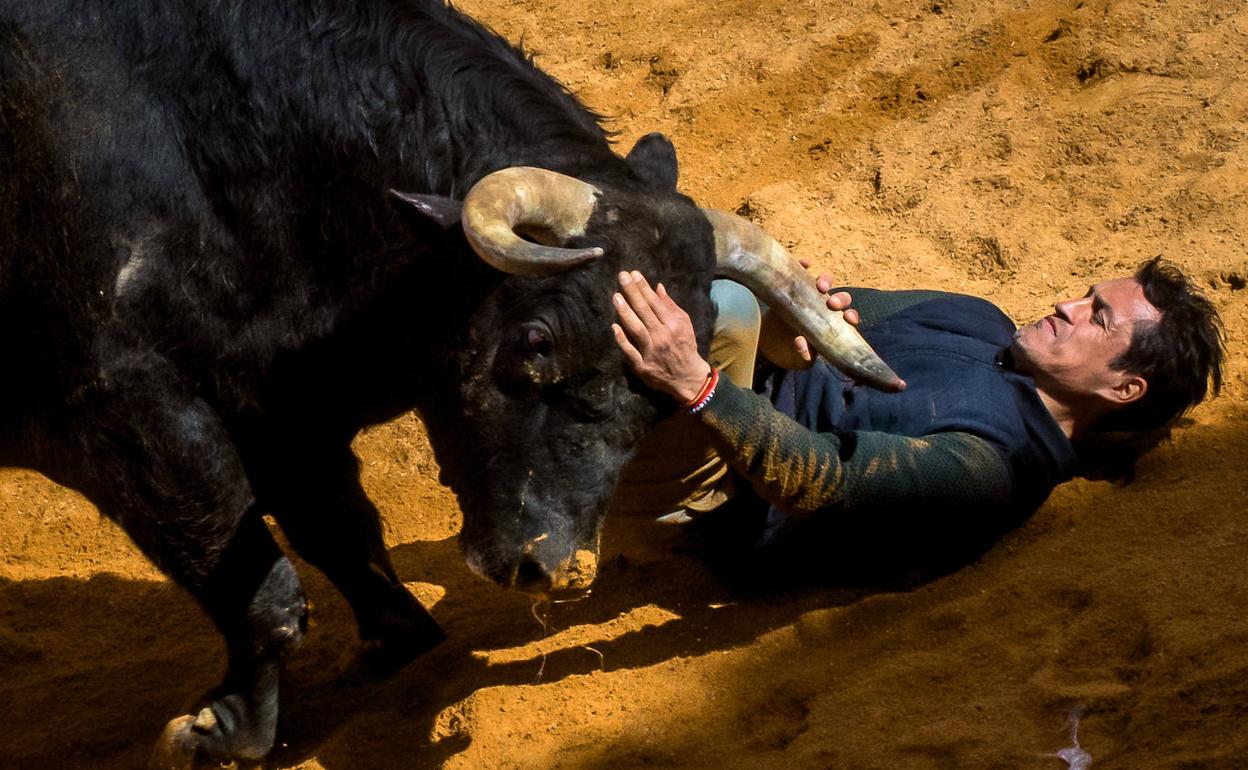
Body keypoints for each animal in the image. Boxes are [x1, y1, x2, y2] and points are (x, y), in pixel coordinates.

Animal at [0, 0, 898, 763]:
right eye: (535, 340)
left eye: (662, 387)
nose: (553, 572)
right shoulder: (124, 413)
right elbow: (254, 578)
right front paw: (223, 731)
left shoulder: (284, 412)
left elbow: (338, 531)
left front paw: (396, 640)